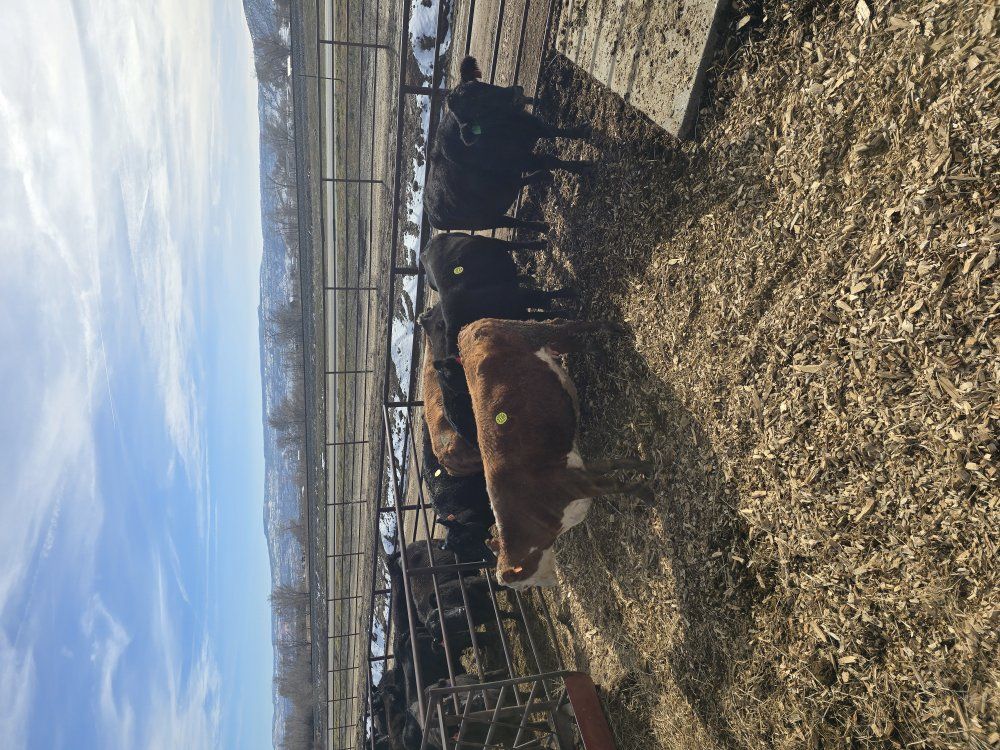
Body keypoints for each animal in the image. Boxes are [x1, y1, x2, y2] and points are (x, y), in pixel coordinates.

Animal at [423, 56, 593, 232]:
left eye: (481, 86)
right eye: (478, 111)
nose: (515, 92)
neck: (509, 127)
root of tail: (430, 214)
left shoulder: (533, 125)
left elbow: (555, 131)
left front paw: (582, 131)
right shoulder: (519, 160)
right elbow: (550, 159)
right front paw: (582, 167)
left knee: (518, 182)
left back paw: (544, 176)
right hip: (487, 221)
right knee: (514, 221)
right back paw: (542, 227)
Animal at [456, 318, 655, 589]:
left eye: (524, 585)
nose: (551, 585)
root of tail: (468, 328)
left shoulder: (574, 483)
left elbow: (616, 484)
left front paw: (647, 494)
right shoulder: (576, 469)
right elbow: (611, 464)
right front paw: (644, 467)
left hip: (535, 332)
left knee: (567, 323)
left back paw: (613, 328)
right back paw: (600, 347)